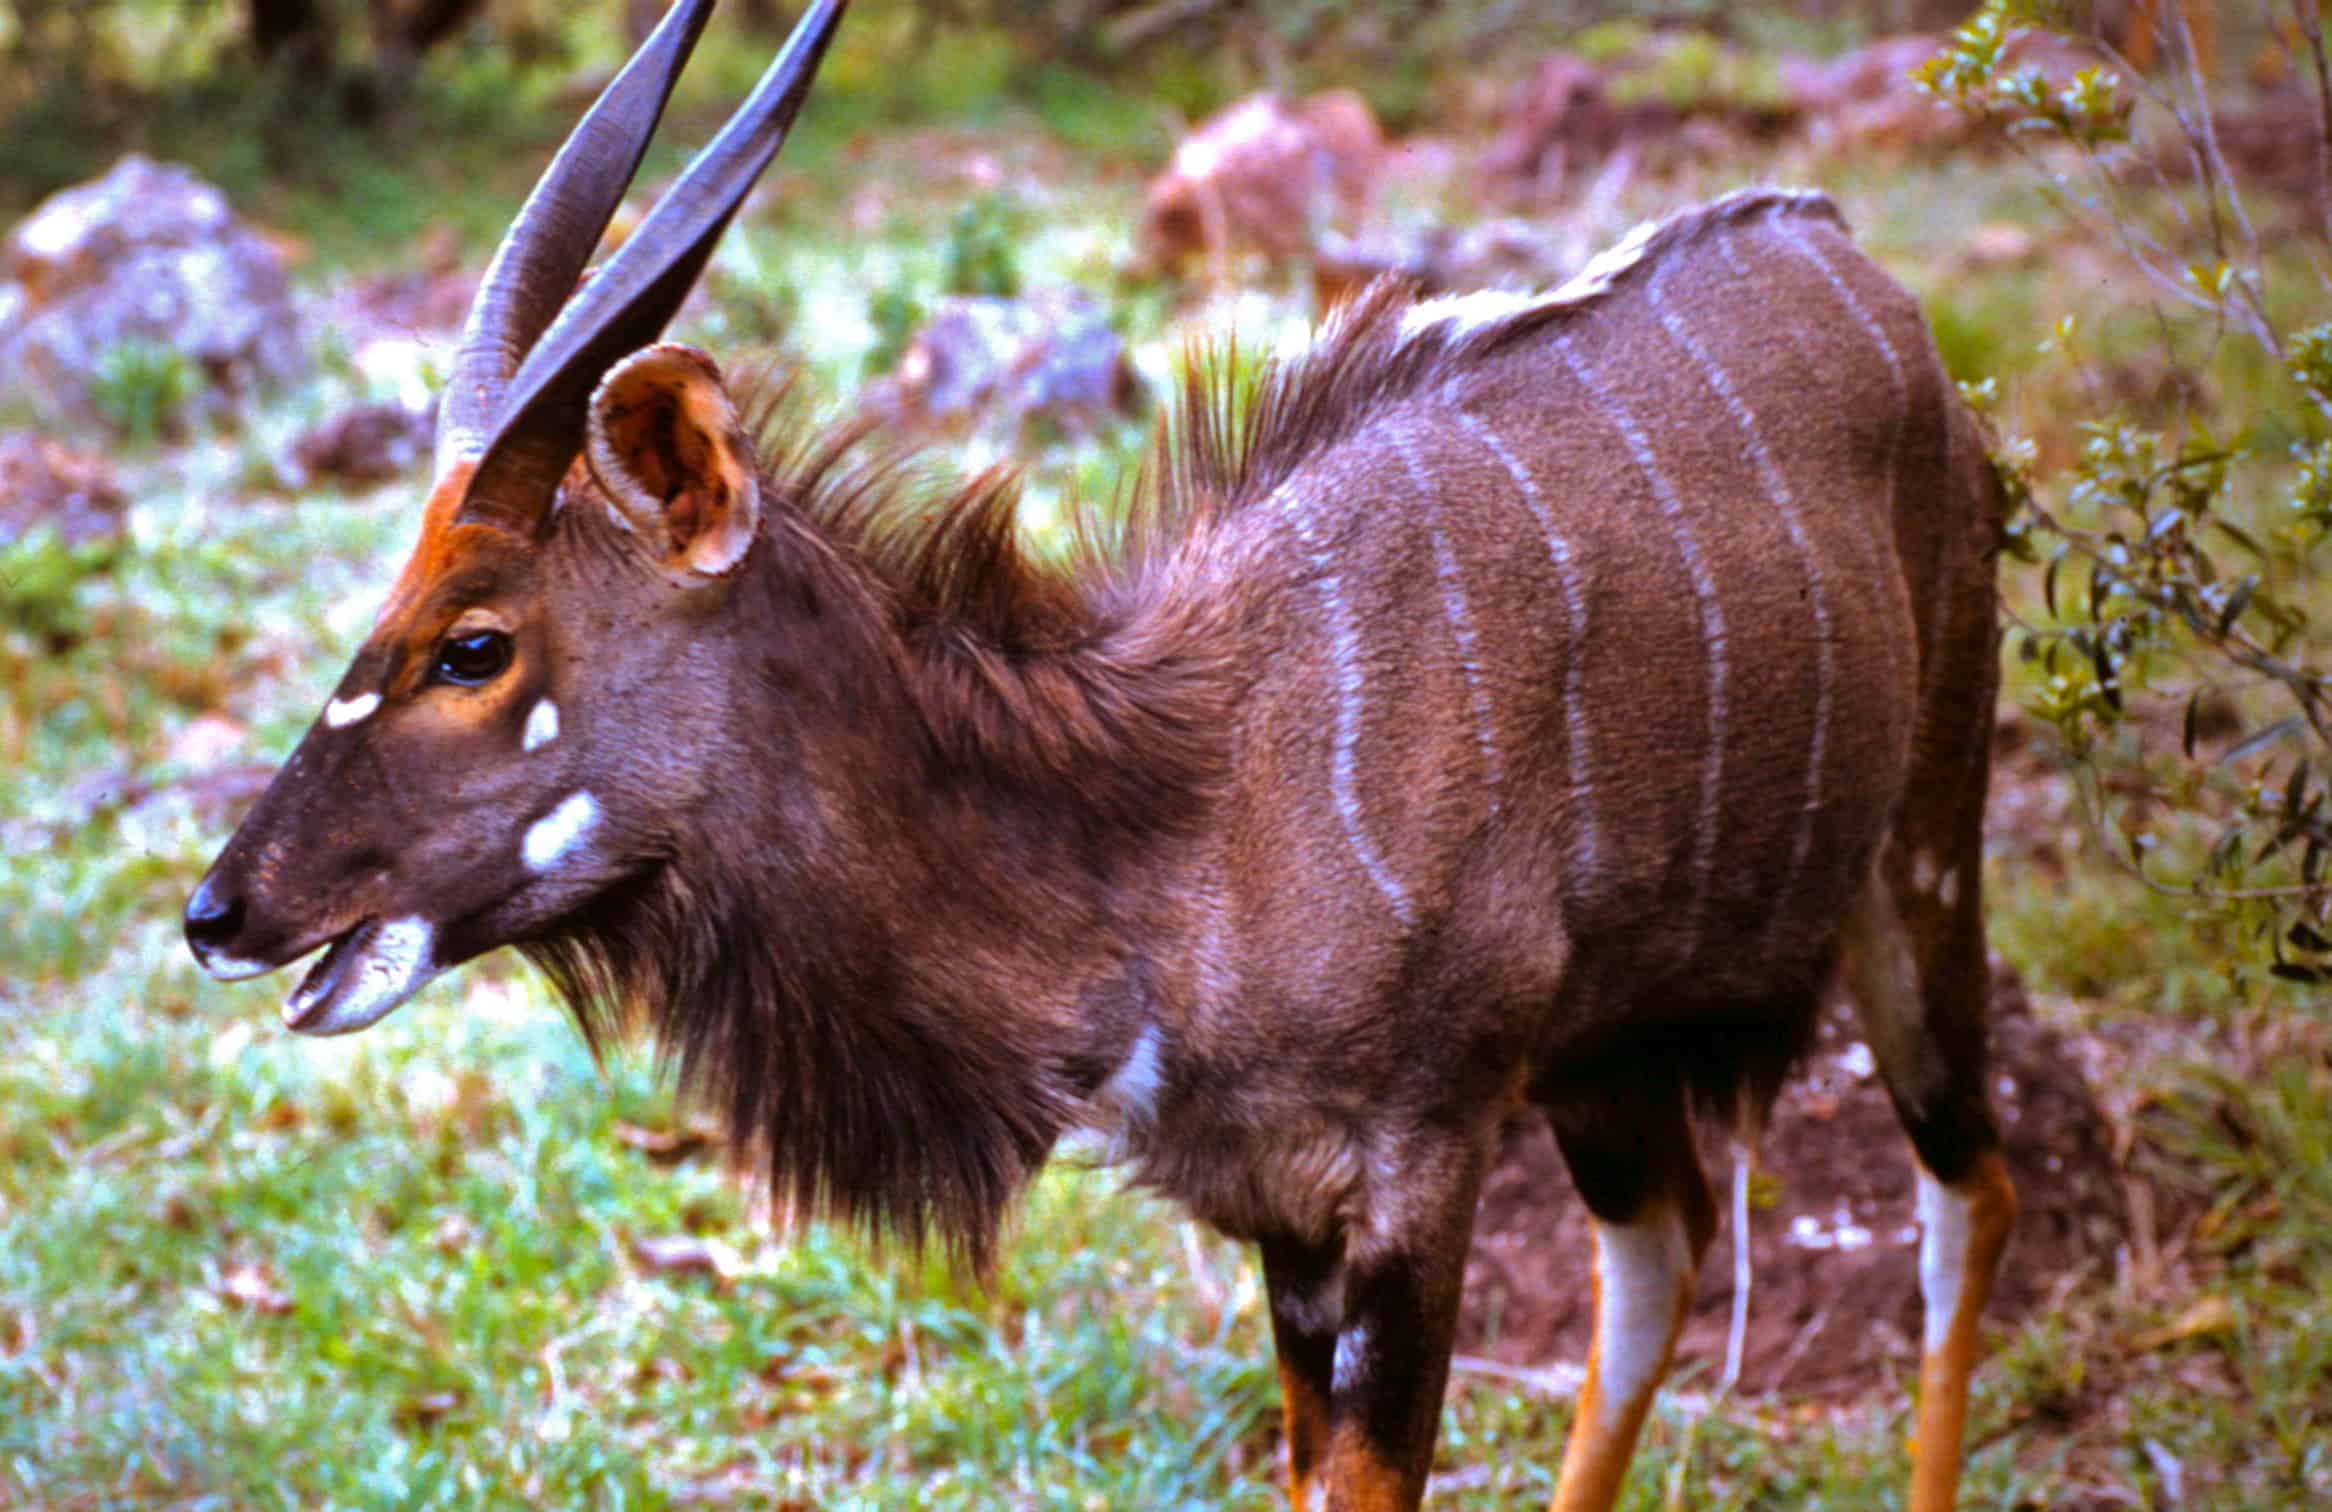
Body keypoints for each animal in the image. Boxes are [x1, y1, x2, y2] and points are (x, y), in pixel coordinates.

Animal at [186, 5, 2024, 1502]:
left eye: (474, 642)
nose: (221, 911)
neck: (1178, 829)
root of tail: (1865, 276)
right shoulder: (1286, 1225)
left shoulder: (1413, 1178)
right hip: (1607, 1057)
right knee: (1662, 1259)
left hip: (1920, 854)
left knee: (1966, 1189)